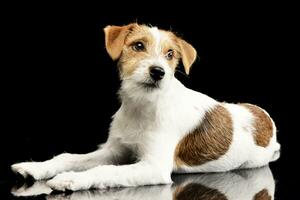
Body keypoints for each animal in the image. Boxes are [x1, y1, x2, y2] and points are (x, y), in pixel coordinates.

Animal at [11, 23, 278, 191]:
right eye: (138, 46)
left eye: (170, 54)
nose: (158, 72)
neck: (143, 106)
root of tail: (265, 117)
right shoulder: (113, 150)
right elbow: (69, 157)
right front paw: (36, 167)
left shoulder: (153, 167)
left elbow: (107, 171)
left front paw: (69, 180)